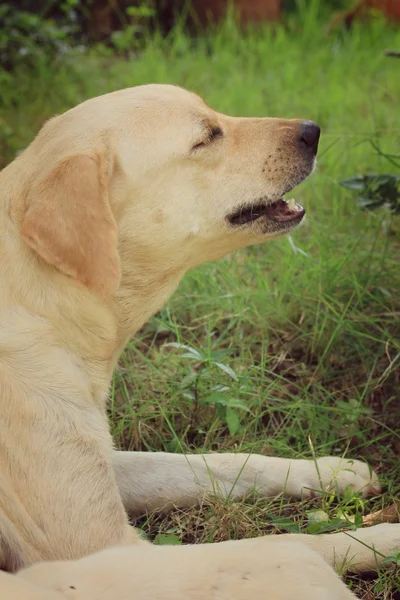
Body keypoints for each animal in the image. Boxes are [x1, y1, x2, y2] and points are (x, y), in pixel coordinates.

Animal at [0, 83, 398, 596]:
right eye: (206, 137)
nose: (313, 130)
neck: (44, 303)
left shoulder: (106, 463)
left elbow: (223, 463)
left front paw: (330, 472)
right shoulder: (103, 546)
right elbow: (303, 540)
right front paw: (387, 536)